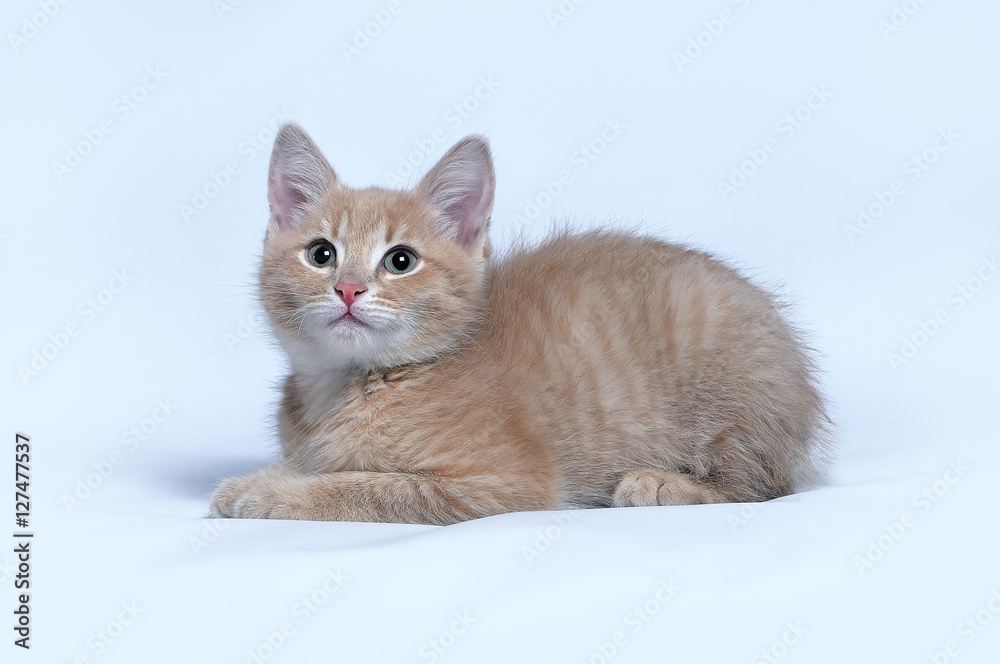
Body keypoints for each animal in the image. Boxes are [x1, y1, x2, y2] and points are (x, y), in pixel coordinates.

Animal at [209, 123, 828, 524]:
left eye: (400, 261)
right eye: (321, 254)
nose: (348, 288)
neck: (348, 384)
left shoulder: (505, 482)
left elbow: (368, 489)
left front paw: (272, 494)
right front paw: (264, 477)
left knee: (764, 486)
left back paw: (660, 483)